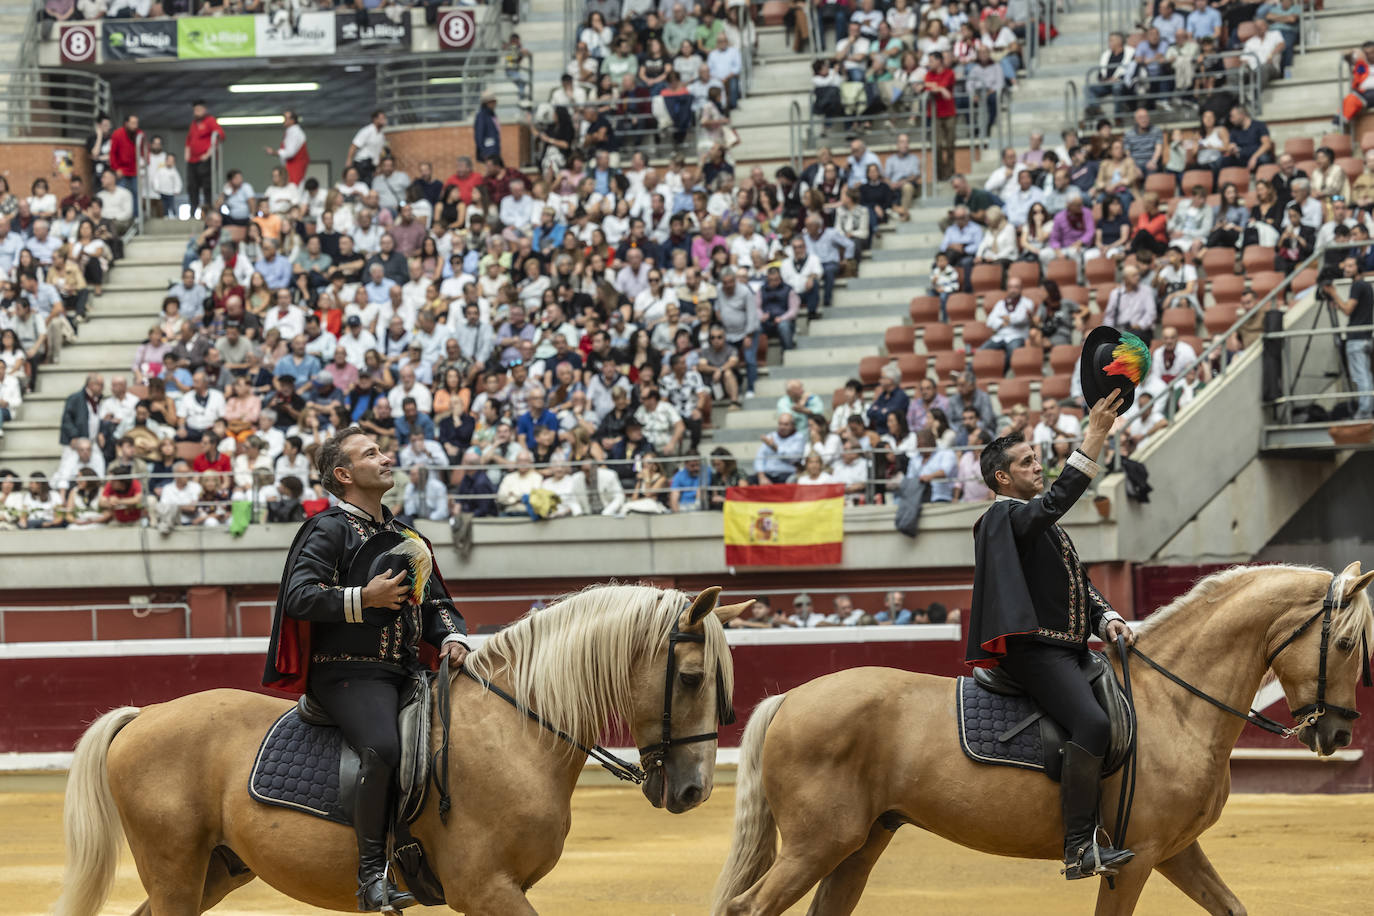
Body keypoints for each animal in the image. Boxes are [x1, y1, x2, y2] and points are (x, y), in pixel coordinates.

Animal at [53, 585, 747, 911]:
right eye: (691, 678)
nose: (695, 789)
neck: (514, 732)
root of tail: (144, 717)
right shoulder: (486, 889)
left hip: (212, 873)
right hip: (176, 873)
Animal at [714, 563, 1368, 911]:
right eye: (1345, 643)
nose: (1337, 731)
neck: (1174, 705)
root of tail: (790, 698)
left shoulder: (1176, 851)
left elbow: (1232, 905)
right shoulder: (1135, 859)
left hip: (858, 844)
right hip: (818, 844)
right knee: (749, 906)